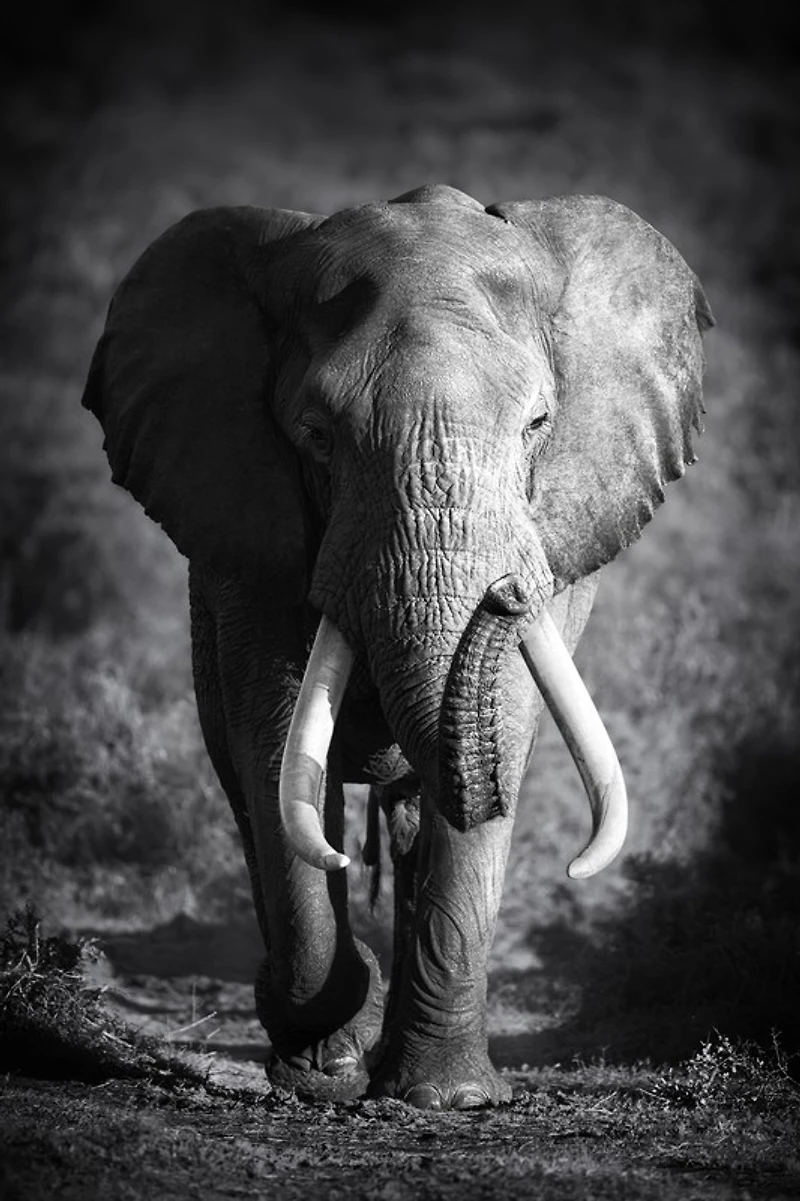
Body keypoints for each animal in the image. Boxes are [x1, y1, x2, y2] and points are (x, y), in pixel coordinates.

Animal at [82, 184, 713, 1109]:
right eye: (316, 434)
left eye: (538, 425)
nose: (506, 593)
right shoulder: (249, 536)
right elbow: (275, 746)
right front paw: (323, 1062)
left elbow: (504, 730)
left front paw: (448, 1098)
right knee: (248, 787)